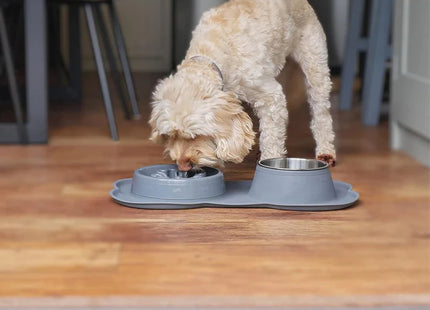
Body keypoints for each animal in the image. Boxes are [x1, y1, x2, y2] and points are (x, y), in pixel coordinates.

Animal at [150, 0, 336, 172]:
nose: (182, 166)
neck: (210, 54)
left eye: (196, 135)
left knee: (321, 114)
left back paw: (326, 150)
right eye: (170, 135)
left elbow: (271, 137)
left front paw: (269, 160)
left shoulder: (270, 96)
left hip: (315, 66)